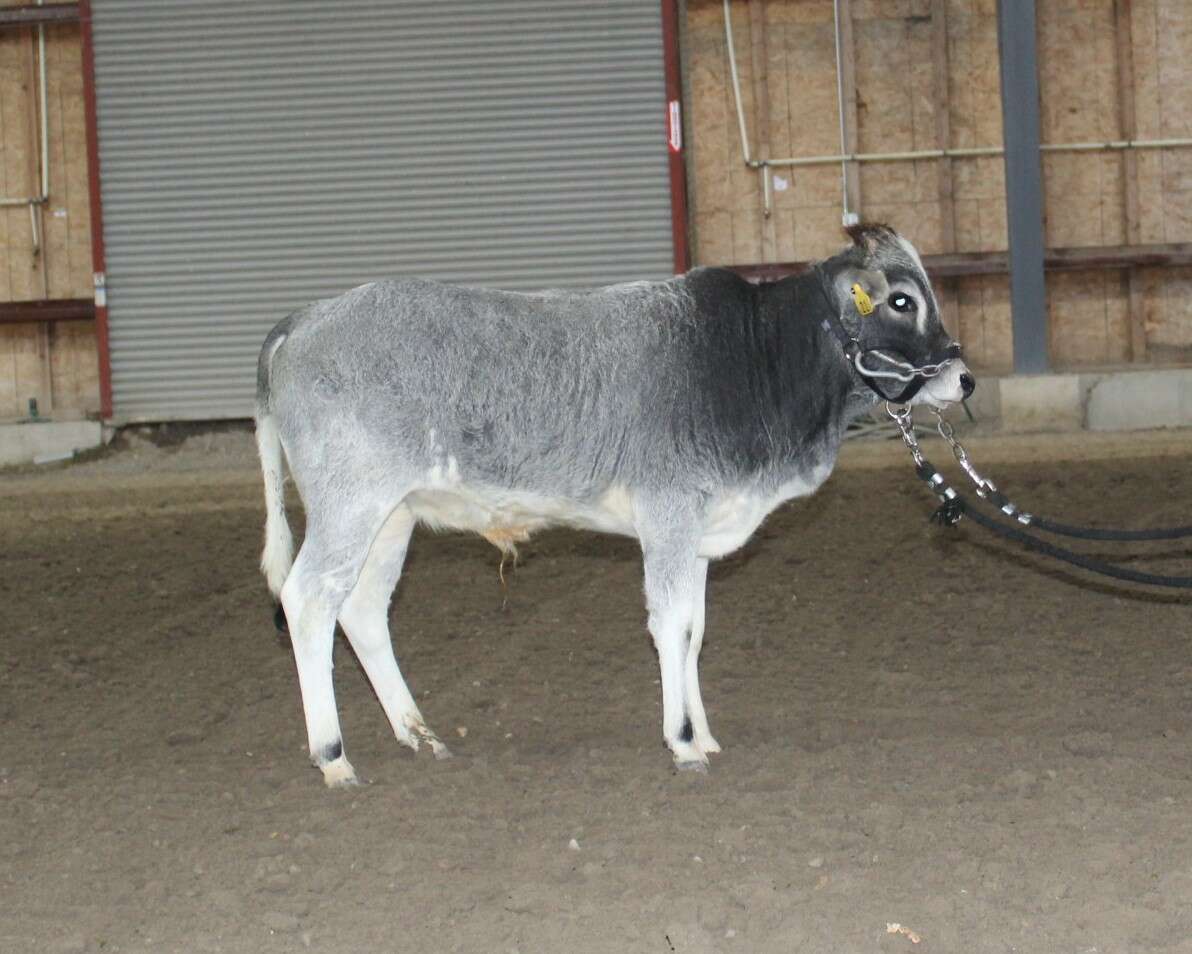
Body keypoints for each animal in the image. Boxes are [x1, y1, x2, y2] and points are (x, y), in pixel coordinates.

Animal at [254, 223, 973, 787]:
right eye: (901, 300)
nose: (964, 378)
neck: (753, 359)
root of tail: (308, 317)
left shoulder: (698, 531)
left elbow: (693, 631)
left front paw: (702, 732)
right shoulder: (668, 516)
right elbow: (669, 625)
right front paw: (682, 743)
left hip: (393, 515)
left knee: (362, 609)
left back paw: (417, 732)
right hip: (350, 504)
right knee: (308, 600)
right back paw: (333, 755)